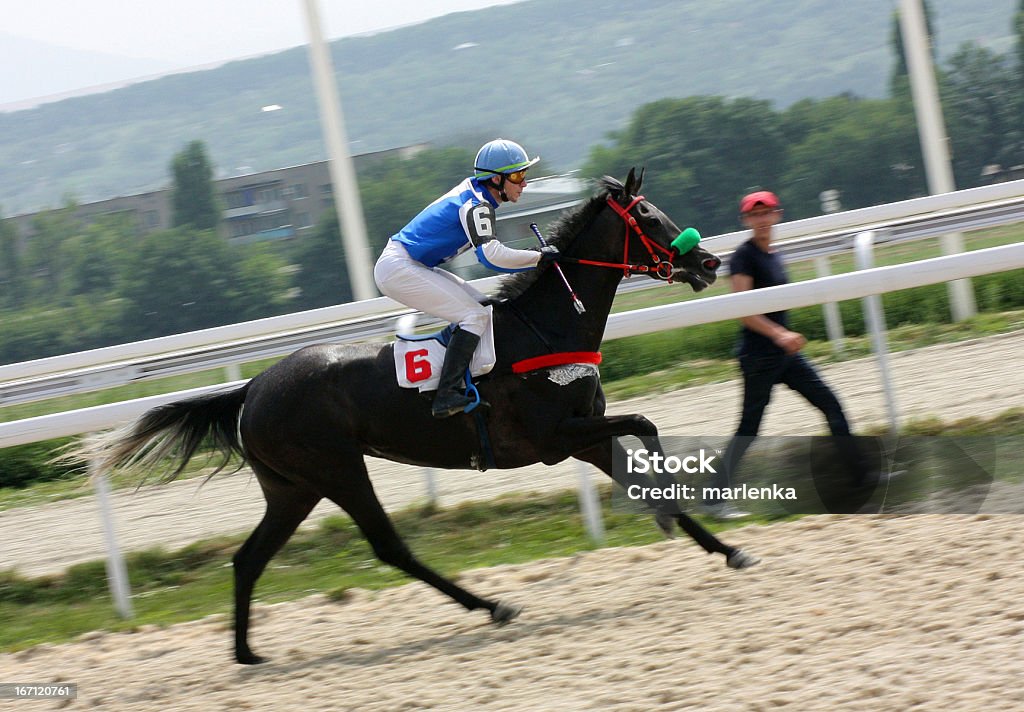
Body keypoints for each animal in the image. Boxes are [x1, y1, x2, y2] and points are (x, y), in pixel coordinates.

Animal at [83, 170, 761, 663]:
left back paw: (247, 653)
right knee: (388, 546)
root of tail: (252, 387)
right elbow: (645, 425)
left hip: (292, 488)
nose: (708, 263)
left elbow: (644, 465)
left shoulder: (583, 436)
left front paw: (726, 548)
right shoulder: (554, 437)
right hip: (337, 470)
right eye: (647, 217)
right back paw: (492, 607)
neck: (547, 326)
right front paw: (683, 517)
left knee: (249, 558)